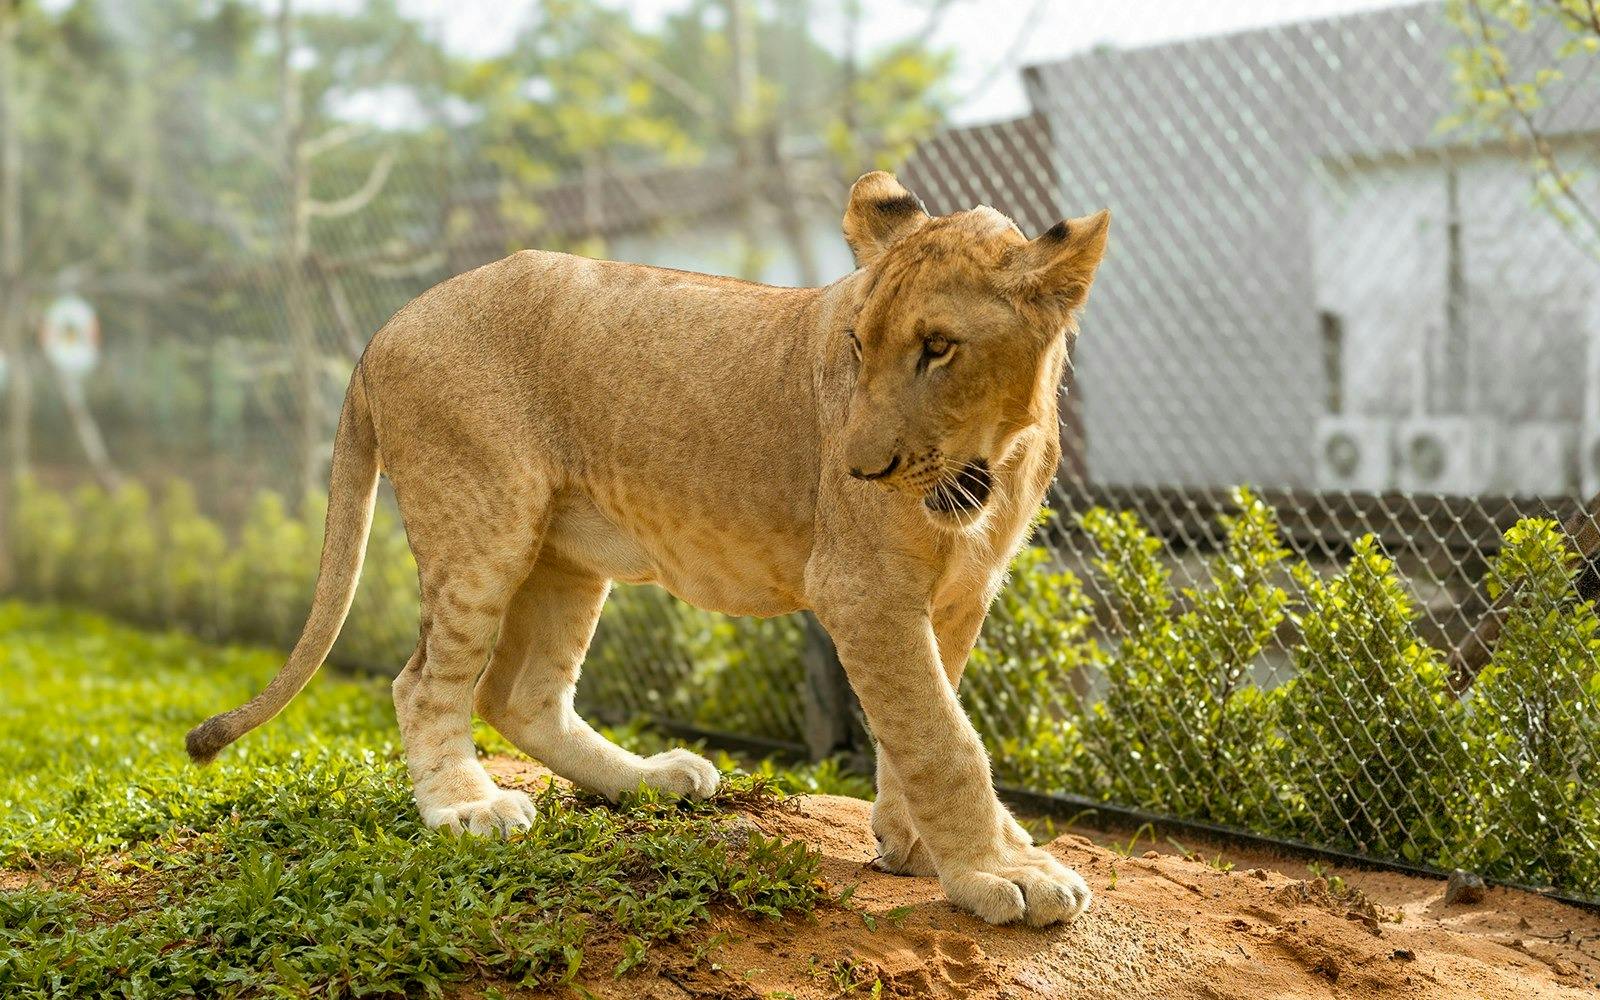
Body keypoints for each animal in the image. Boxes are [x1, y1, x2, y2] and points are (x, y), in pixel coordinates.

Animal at [186, 170, 1110, 927]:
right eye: (856, 346)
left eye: (939, 347)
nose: (856, 469)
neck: (994, 460)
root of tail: (385, 327)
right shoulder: (864, 591)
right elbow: (944, 739)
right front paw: (1000, 873)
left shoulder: (957, 595)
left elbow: (917, 721)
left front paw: (913, 843)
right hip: (483, 528)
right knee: (424, 685)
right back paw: (466, 809)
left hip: (565, 555)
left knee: (522, 697)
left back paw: (652, 781)